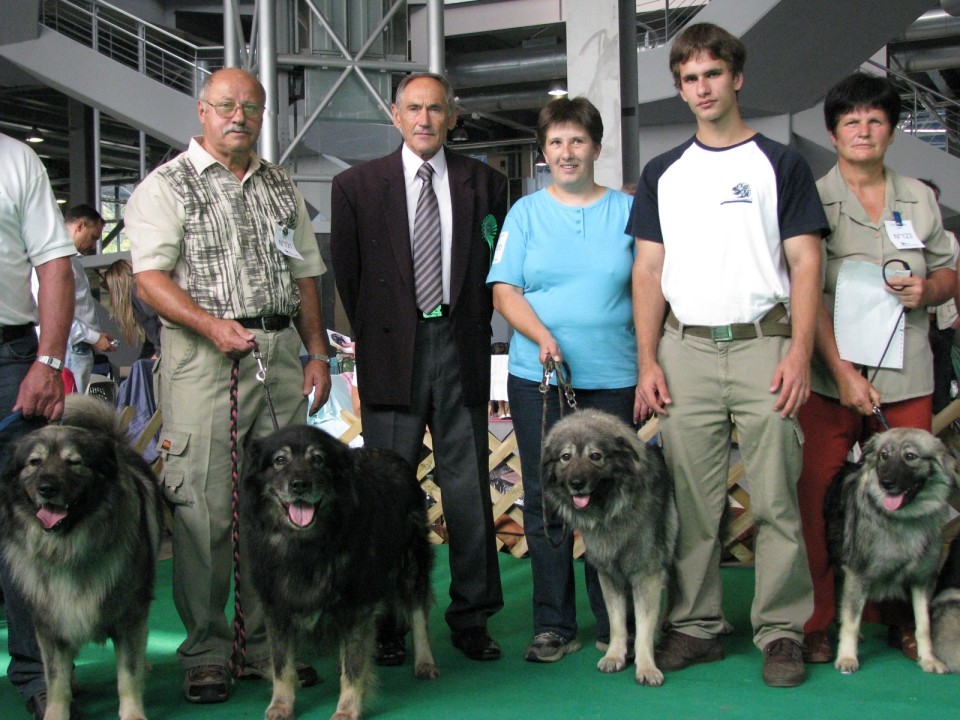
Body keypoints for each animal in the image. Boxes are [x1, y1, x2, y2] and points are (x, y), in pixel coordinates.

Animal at [240, 424, 438, 720]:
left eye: (318, 459)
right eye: (279, 460)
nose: (299, 485)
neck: (305, 544)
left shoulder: (356, 604)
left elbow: (354, 666)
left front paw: (347, 708)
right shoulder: (277, 606)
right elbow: (281, 665)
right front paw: (281, 704)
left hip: (411, 564)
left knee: (418, 613)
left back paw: (425, 661)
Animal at [540, 410, 676, 688]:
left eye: (595, 456)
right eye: (566, 457)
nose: (576, 483)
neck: (613, 511)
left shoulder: (646, 575)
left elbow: (644, 626)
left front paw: (646, 667)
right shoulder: (609, 574)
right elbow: (617, 622)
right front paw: (615, 655)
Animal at [824, 428, 960, 676]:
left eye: (910, 456)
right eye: (884, 456)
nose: (885, 482)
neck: (903, 520)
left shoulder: (922, 580)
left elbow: (924, 625)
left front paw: (928, 659)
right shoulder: (857, 575)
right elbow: (851, 621)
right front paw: (847, 657)